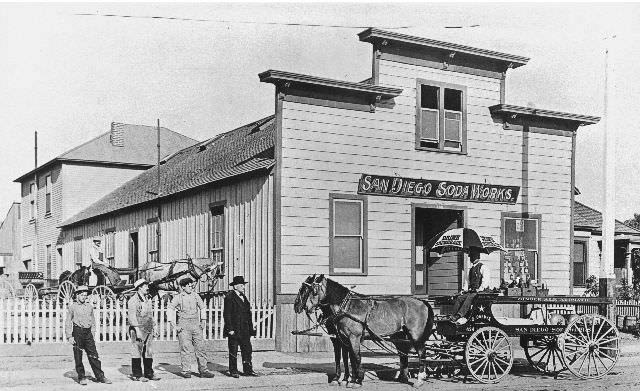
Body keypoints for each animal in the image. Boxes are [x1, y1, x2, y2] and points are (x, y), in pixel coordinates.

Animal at [296, 274, 436, 388]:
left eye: (310, 290)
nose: (297, 306)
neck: (346, 306)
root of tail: (422, 301)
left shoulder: (353, 337)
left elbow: (356, 357)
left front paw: (357, 380)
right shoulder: (343, 338)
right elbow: (347, 358)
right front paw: (348, 379)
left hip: (415, 335)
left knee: (421, 353)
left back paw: (419, 379)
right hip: (400, 335)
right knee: (404, 354)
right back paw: (403, 377)